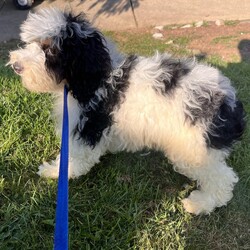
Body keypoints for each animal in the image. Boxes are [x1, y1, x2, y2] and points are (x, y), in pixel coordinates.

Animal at [6, 8, 245, 215]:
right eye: (30, 43)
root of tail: (230, 101)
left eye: (50, 50)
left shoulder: (88, 125)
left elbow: (77, 158)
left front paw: (56, 171)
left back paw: (202, 203)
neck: (96, 77)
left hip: (194, 148)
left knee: (222, 178)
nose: (16, 66)